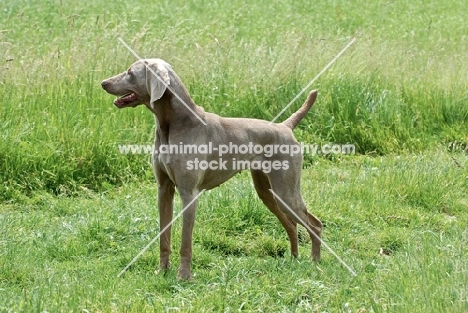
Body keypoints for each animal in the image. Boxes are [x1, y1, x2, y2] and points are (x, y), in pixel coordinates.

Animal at [102, 59, 322, 280]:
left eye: (130, 72)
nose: (103, 82)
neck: (173, 124)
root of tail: (285, 126)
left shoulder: (188, 193)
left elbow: (185, 242)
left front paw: (183, 276)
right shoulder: (164, 189)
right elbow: (164, 236)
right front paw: (162, 271)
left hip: (286, 190)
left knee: (315, 224)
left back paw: (315, 261)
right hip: (267, 191)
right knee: (292, 224)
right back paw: (294, 258)